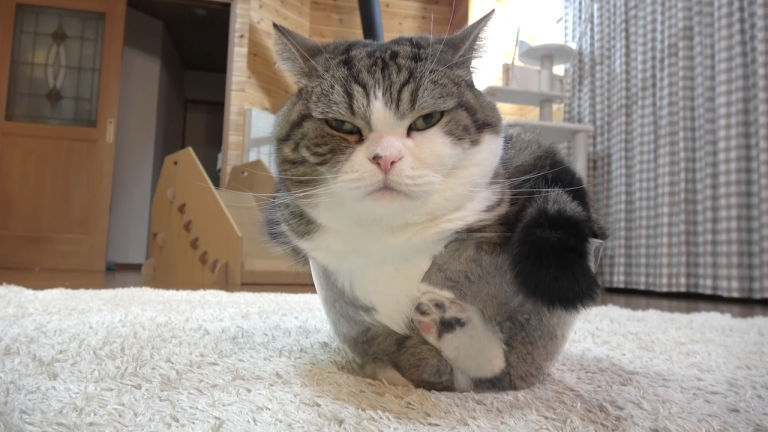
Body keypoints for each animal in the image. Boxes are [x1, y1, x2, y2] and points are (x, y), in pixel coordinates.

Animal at [264, 11, 608, 392]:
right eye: (341, 125)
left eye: (427, 119)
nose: (386, 158)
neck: (393, 235)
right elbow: (369, 326)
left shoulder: (496, 211)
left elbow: (464, 266)